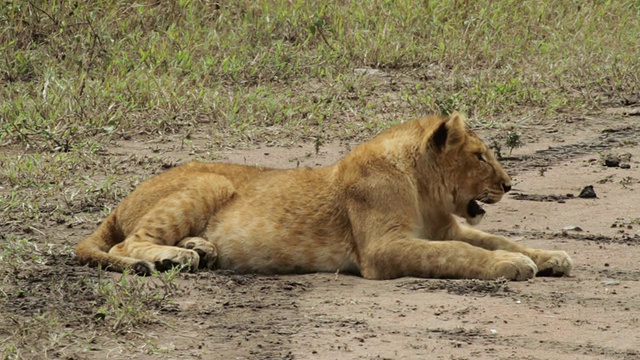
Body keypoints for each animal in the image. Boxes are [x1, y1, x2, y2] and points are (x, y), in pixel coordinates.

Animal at [76, 112, 576, 278]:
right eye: (479, 156)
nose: (509, 185)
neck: (423, 190)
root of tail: (121, 202)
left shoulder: (447, 227)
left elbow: (494, 239)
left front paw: (549, 255)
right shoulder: (382, 249)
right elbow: (457, 254)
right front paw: (512, 265)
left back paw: (202, 249)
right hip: (209, 182)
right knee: (124, 245)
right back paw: (172, 258)